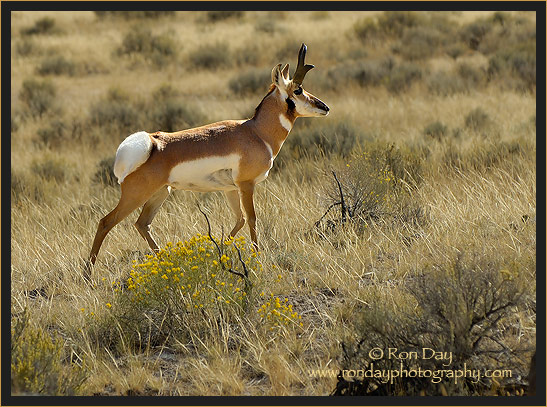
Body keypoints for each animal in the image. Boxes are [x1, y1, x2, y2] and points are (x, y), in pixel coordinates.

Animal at [86, 43, 330, 274]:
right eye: (297, 90)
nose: (325, 107)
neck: (256, 132)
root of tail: (152, 144)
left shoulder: (231, 189)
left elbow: (240, 220)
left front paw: (220, 252)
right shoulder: (246, 185)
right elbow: (252, 219)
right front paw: (257, 258)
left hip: (160, 193)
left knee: (142, 224)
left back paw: (164, 259)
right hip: (136, 196)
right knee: (105, 222)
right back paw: (88, 274)